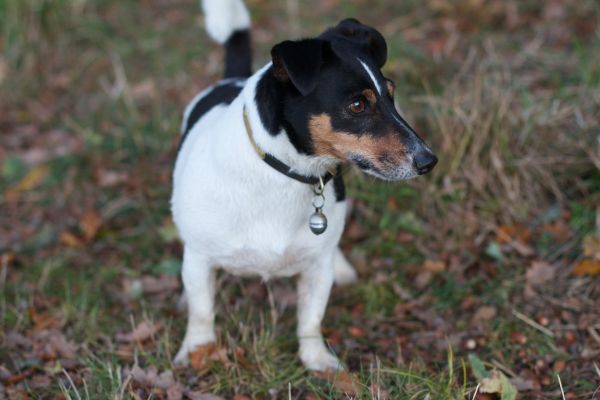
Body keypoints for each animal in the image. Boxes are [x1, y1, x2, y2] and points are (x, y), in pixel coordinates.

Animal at [171, 0, 438, 370]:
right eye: (358, 105)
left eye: (392, 94)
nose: (429, 160)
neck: (286, 173)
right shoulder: (199, 258)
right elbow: (202, 311)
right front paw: (196, 351)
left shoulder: (317, 266)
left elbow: (310, 317)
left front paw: (317, 361)